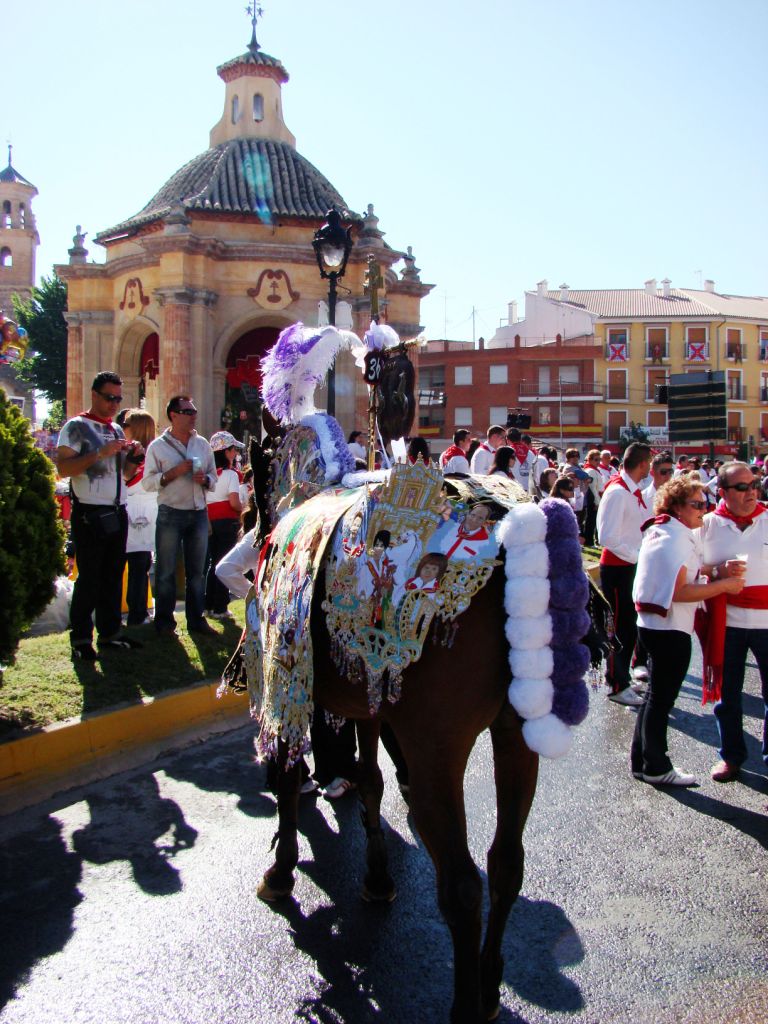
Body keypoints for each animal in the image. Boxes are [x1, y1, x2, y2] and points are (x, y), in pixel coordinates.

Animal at [222, 319, 589, 1024]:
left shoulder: (286, 679)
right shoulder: (367, 691)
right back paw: (491, 981)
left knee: (462, 883)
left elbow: (291, 775)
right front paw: (377, 878)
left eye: (253, 465)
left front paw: (281, 871)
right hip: (514, 735)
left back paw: (468, 1002)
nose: (249, 528)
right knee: (506, 863)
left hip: (437, 744)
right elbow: (368, 781)